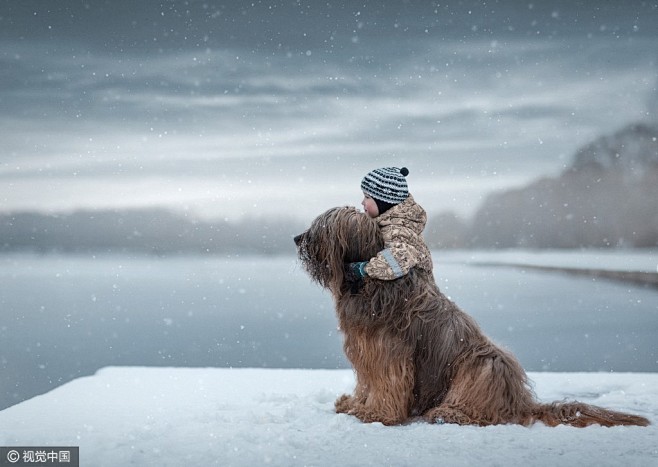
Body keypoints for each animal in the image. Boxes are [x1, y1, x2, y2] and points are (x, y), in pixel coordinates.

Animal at [294, 207, 648, 428]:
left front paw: (376, 414)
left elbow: (387, 384)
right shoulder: (365, 350)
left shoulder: (387, 353)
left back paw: (449, 412)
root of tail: (521, 402)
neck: (367, 281)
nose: (297, 239)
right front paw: (354, 405)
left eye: (322, 228)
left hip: (483, 363)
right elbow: (366, 383)